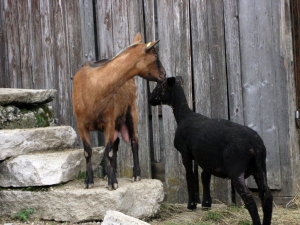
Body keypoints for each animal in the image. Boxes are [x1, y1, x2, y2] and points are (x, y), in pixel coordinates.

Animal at [72, 32, 166, 189]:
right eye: (155, 54)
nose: (164, 75)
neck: (94, 88)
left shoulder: (108, 122)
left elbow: (109, 152)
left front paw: (113, 183)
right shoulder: (81, 125)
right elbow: (87, 152)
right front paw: (89, 181)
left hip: (131, 112)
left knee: (134, 142)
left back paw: (136, 175)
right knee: (116, 145)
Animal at [149, 76, 274, 224]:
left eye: (159, 86)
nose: (150, 99)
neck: (184, 115)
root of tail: (255, 144)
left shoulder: (185, 153)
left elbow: (190, 176)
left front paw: (191, 205)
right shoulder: (206, 158)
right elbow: (205, 177)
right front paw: (206, 204)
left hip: (236, 169)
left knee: (249, 198)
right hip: (260, 168)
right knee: (267, 195)